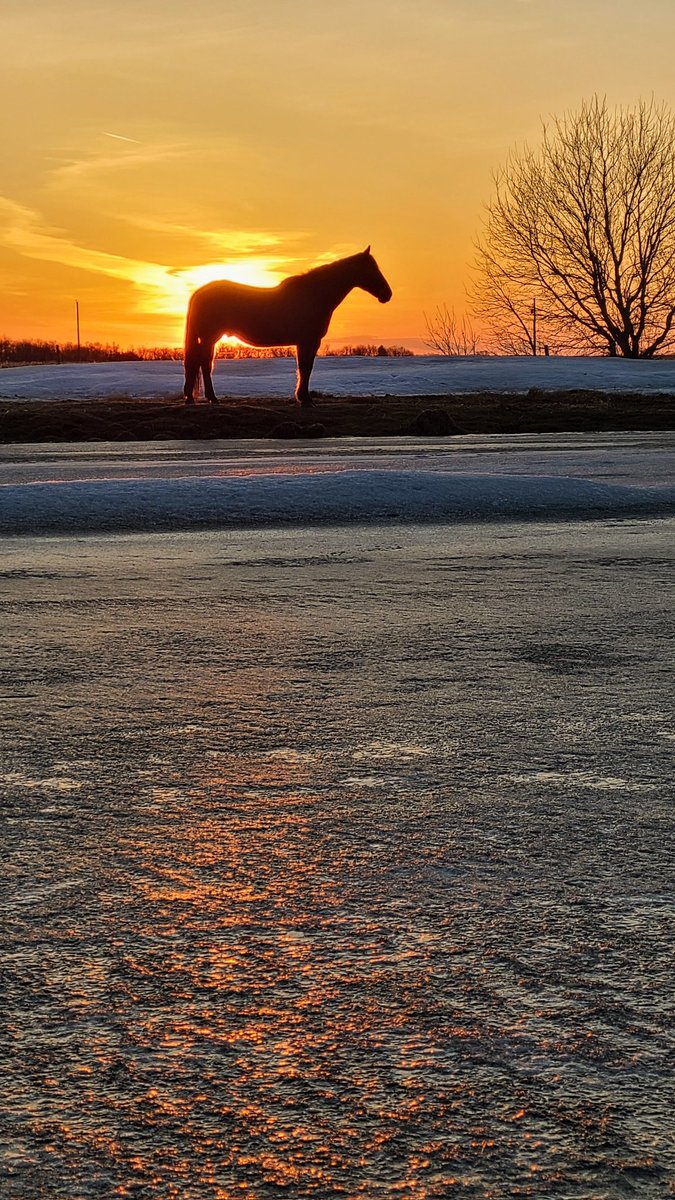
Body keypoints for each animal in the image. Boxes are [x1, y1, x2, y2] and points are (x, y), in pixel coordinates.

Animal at [183, 246, 392, 406]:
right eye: (371, 269)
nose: (387, 294)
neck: (313, 296)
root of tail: (198, 293)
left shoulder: (304, 342)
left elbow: (304, 368)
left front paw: (302, 397)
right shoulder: (309, 341)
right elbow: (306, 367)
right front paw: (305, 399)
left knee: (198, 363)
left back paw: (194, 397)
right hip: (210, 337)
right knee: (203, 363)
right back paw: (210, 398)